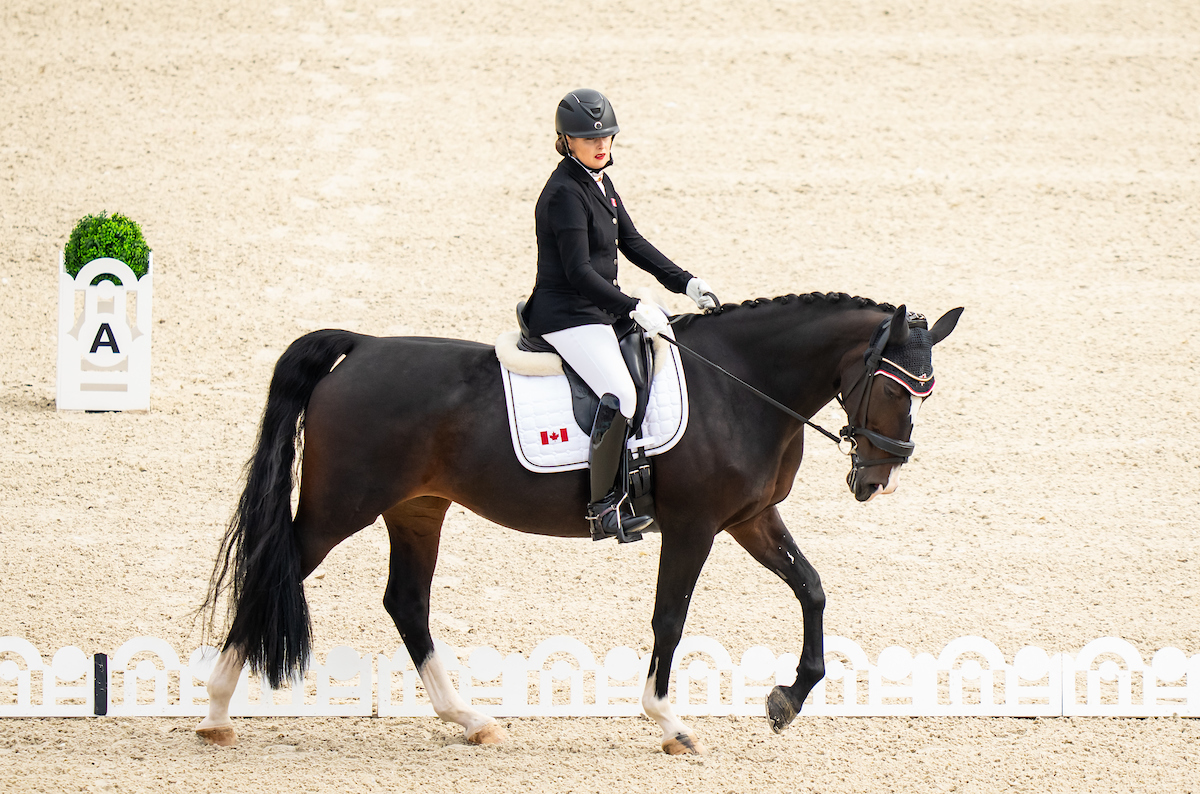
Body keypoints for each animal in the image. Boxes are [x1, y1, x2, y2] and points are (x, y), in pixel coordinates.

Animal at [199, 293, 964, 758]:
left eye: (927, 392)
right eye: (895, 387)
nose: (878, 478)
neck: (740, 385)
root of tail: (361, 347)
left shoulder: (750, 519)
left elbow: (811, 589)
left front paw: (787, 698)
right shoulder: (694, 527)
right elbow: (670, 619)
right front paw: (670, 722)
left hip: (417, 509)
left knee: (406, 602)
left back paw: (470, 720)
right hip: (341, 509)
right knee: (273, 569)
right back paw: (215, 714)